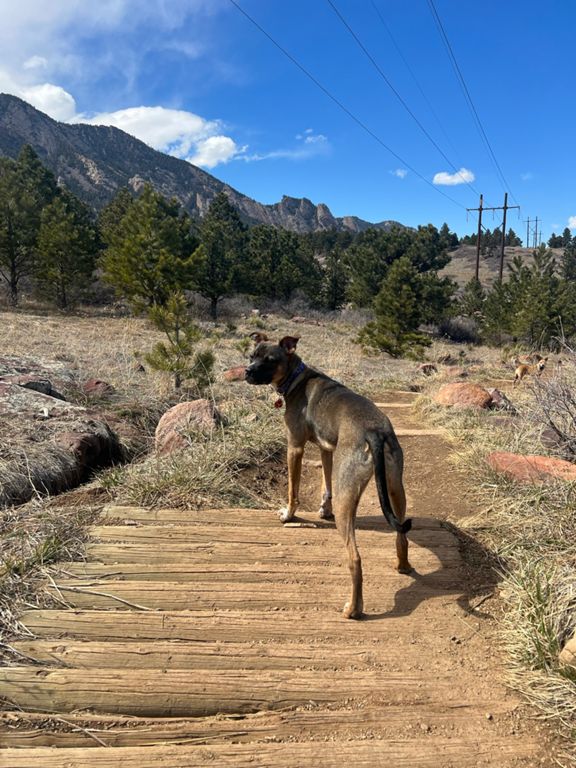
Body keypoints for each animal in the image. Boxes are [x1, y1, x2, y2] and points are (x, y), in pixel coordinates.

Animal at [245, 336, 412, 616]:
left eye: (270, 360)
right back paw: (403, 566)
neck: (296, 378)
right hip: (395, 488)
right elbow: (325, 484)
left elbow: (292, 489)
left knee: (355, 559)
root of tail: (374, 433)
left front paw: (288, 515)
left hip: (348, 498)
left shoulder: (295, 447)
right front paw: (324, 509)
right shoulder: (326, 449)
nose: (247, 372)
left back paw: (353, 609)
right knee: (402, 535)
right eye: (251, 355)